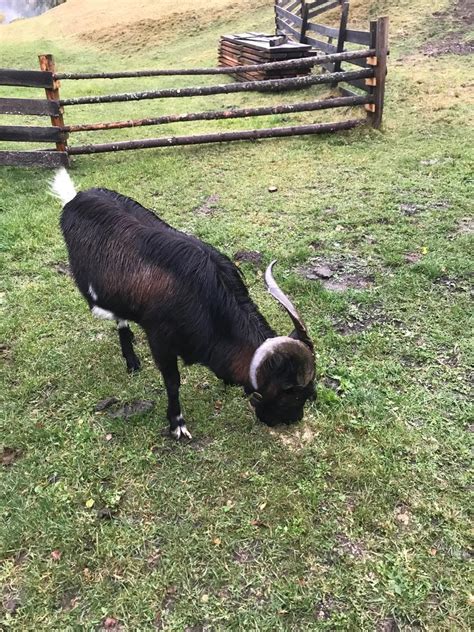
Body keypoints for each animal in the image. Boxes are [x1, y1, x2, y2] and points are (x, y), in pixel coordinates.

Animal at [51, 167, 314, 440]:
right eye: (292, 392)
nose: (292, 420)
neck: (208, 303)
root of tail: (75, 198)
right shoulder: (160, 339)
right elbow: (172, 381)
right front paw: (177, 423)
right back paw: (131, 360)